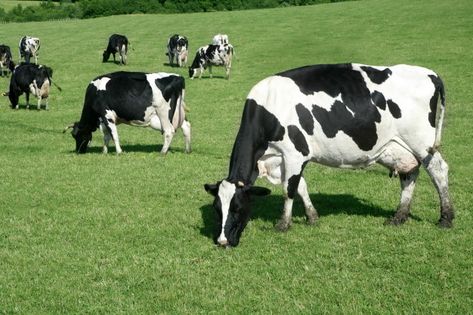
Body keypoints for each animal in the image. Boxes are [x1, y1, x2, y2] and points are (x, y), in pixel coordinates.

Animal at [63, 71, 191, 156]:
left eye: (77, 135)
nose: (79, 151)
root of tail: (177, 77)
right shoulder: (104, 119)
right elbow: (106, 136)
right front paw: (104, 151)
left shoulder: (107, 115)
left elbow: (113, 134)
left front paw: (119, 152)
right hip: (179, 113)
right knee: (186, 127)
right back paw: (187, 150)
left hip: (163, 112)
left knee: (169, 131)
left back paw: (162, 152)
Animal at [204, 63, 454, 248]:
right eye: (217, 209)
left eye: (237, 208)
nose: (222, 241)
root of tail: (429, 73)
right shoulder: (284, 159)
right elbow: (301, 187)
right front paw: (312, 217)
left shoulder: (295, 154)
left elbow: (289, 189)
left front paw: (283, 224)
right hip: (402, 148)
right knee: (410, 174)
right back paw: (399, 216)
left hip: (422, 142)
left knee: (439, 170)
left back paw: (446, 217)